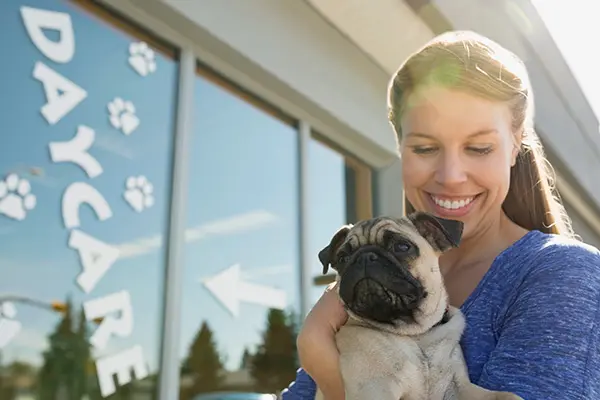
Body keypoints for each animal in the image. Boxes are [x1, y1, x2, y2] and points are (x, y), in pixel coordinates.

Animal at [314, 212, 520, 400]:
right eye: (342, 258)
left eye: (402, 247)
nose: (365, 256)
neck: (416, 334)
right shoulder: (375, 388)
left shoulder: (459, 387)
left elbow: (507, 395)